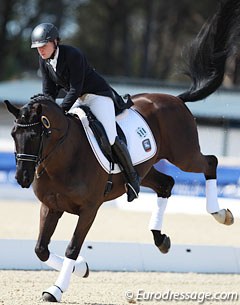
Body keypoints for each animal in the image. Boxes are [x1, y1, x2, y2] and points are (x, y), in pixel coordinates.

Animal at [3, 0, 240, 300]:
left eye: (35, 135)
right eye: (14, 135)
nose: (22, 178)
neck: (62, 158)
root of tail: (175, 99)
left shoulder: (89, 209)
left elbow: (72, 247)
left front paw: (56, 289)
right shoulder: (50, 206)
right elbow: (41, 250)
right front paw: (82, 268)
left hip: (184, 154)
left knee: (210, 162)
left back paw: (221, 214)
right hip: (145, 169)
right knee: (166, 183)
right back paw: (160, 239)